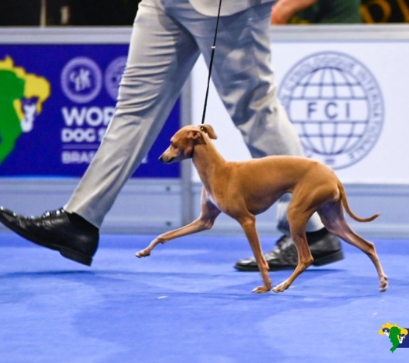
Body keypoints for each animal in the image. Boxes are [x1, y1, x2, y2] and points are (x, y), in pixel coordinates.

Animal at [135, 125, 388, 296]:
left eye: (172, 142)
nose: (161, 157)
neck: (218, 170)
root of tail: (333, 176)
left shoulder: (247, 220)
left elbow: (259, 259)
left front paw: (265, 286)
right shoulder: (204, 221)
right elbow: (166, 235)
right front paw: (145, 251)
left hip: (296, 213)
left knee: (306, 257)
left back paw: (282, 285)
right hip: (332, 219)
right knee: (368, 245)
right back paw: (382, 281)